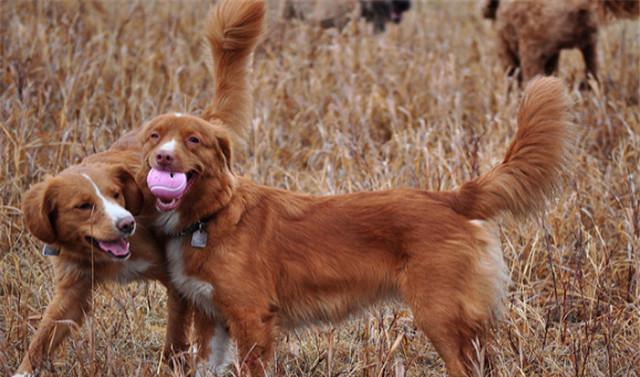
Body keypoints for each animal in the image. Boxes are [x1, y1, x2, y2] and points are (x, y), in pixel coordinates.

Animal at [16, 133, 192, 376]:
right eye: (83, 206)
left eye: (116, 194)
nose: (127, 223)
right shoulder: (74, 288)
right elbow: (44, 334)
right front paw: (23, 370)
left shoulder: (178, 277)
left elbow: (176, 330)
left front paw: (173, 366)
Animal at [139, 0, 568, 374]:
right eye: (154, 136)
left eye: (193, 140)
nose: (163, 158)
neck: (213, 215)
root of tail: (453, 197)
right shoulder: (211, 320)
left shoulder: (252, 320)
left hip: (442, 316)